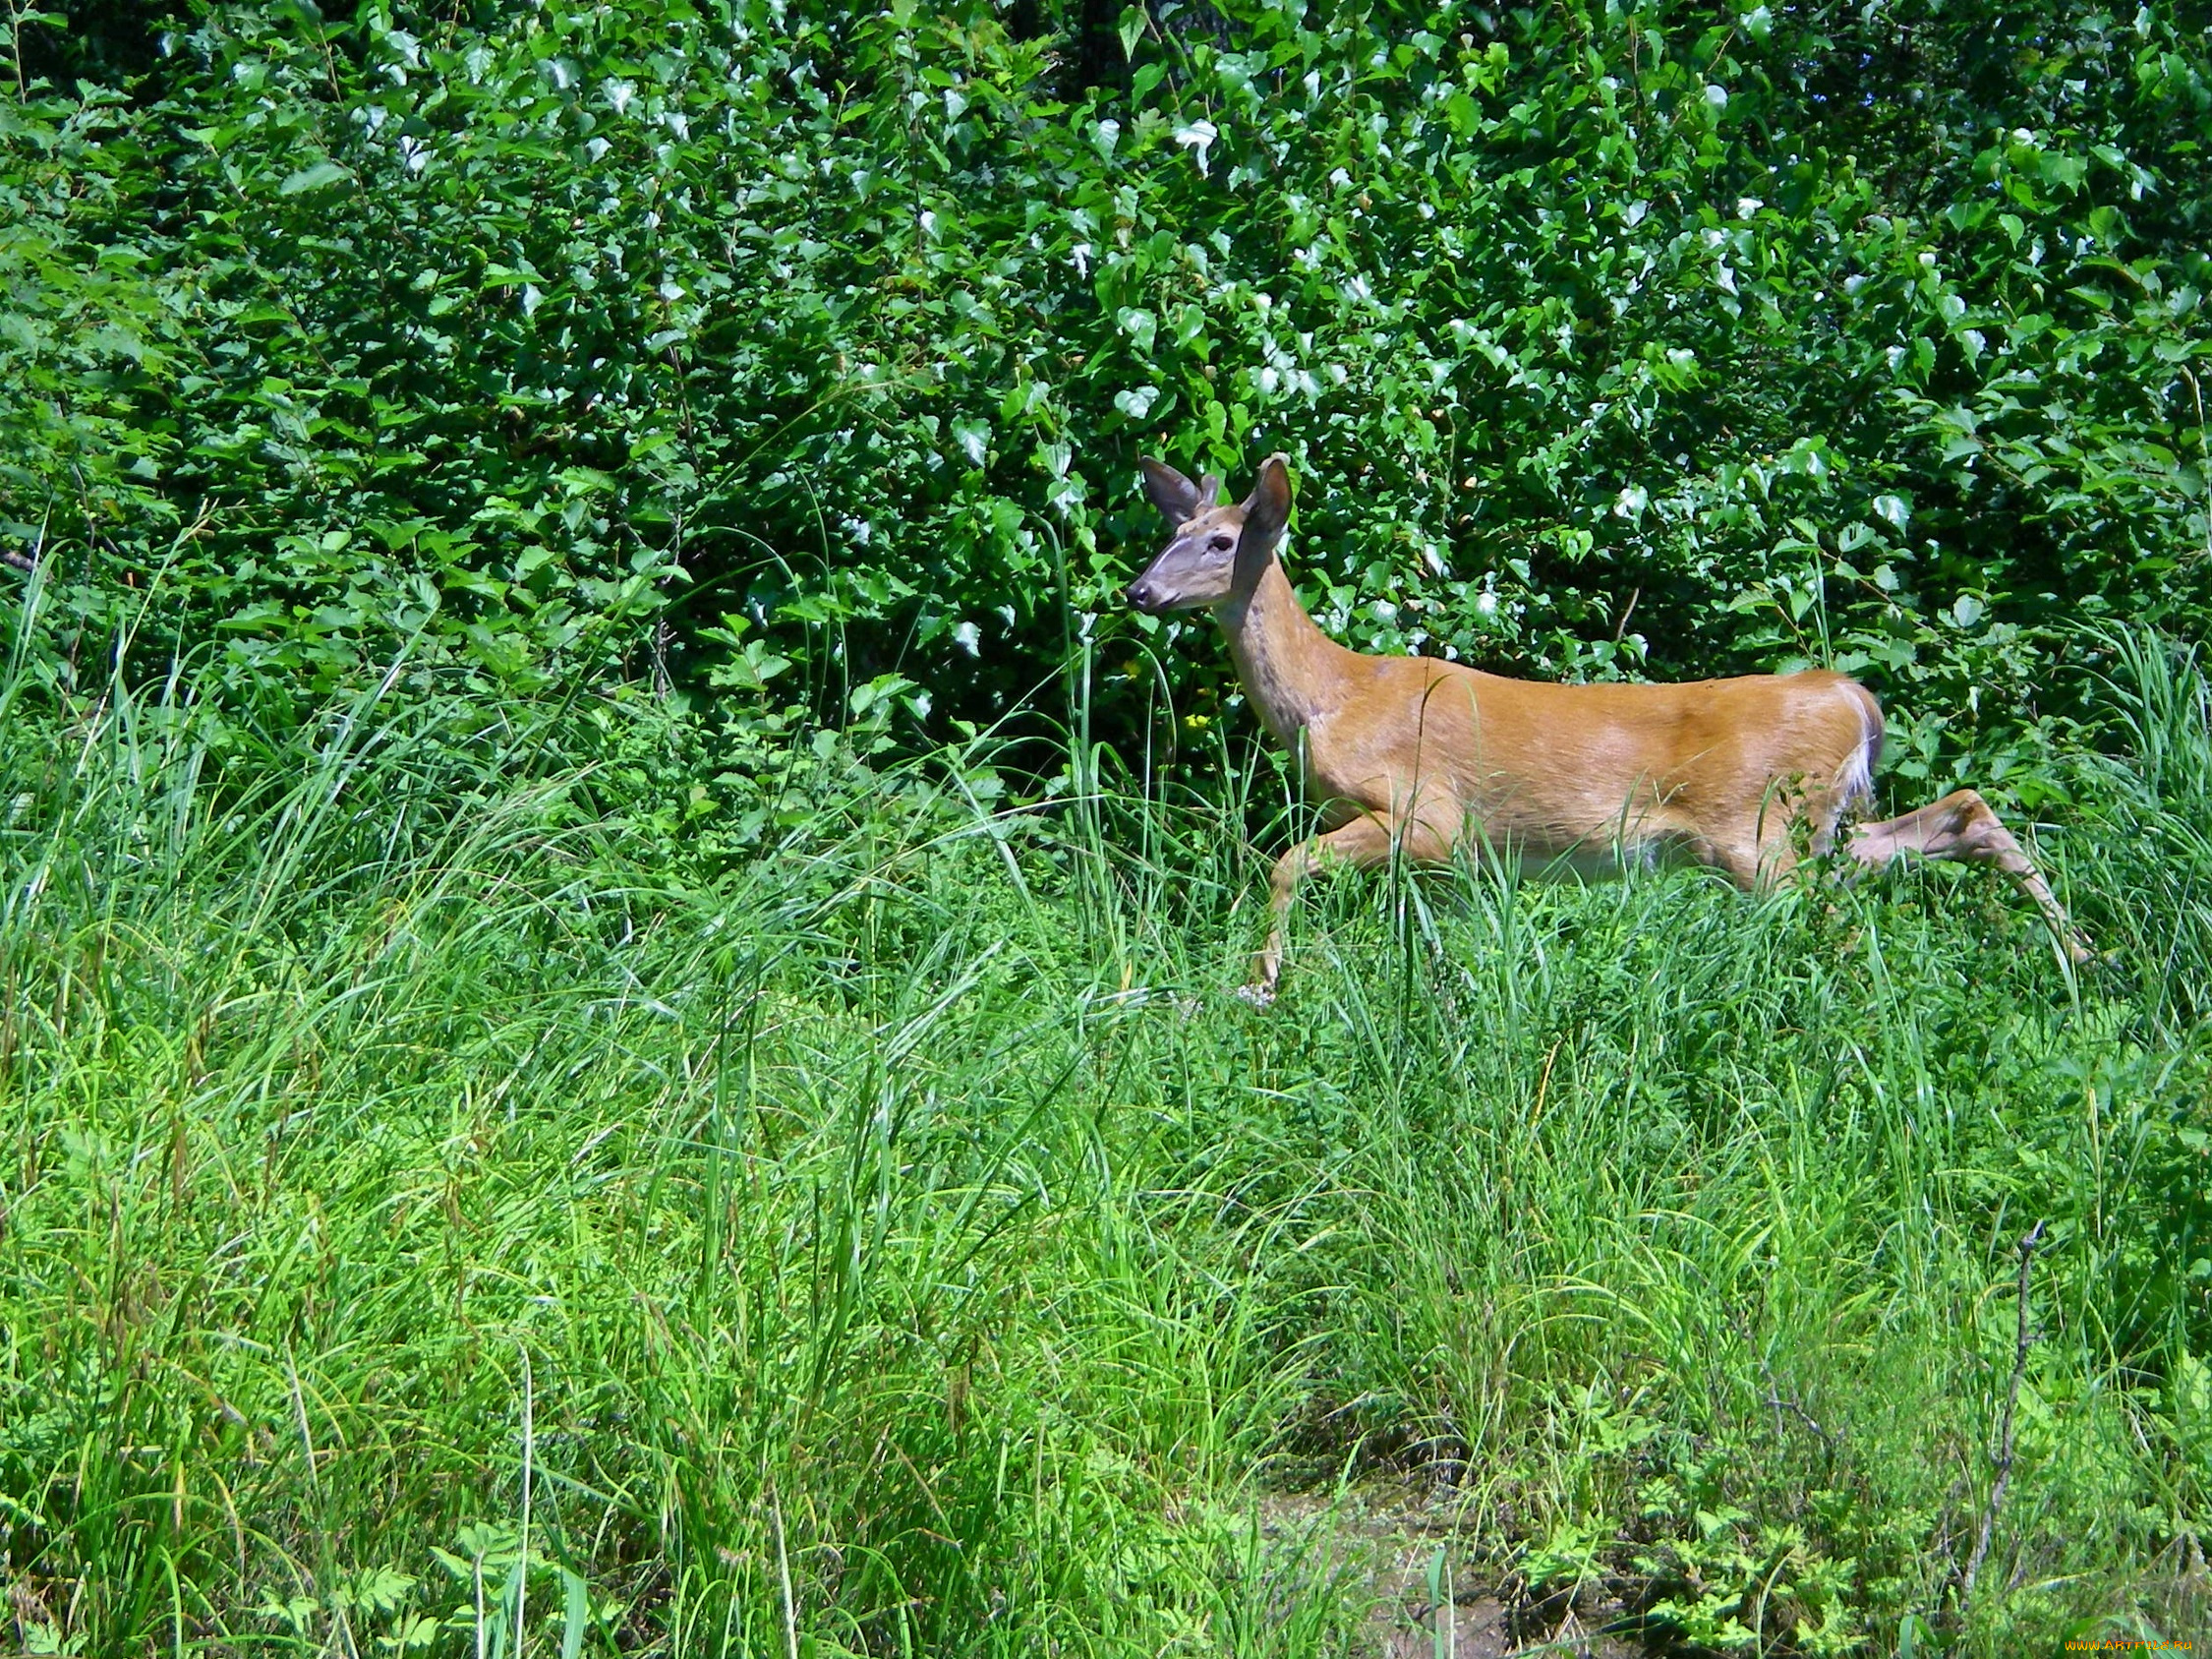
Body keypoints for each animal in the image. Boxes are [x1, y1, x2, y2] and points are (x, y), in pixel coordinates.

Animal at [1124, 448, 2088, 1008]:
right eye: (1174, 529)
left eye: (1220, 542)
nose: (1138, 589)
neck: (1335, 697)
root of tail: (1852, 695)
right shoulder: (1450, 862)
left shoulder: (1427, 815)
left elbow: (1285, 864)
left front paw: (1258, 984)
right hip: (1816, 827)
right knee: (1958, 814)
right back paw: (2081, 952)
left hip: (1764, 833)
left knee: (1845, 920)